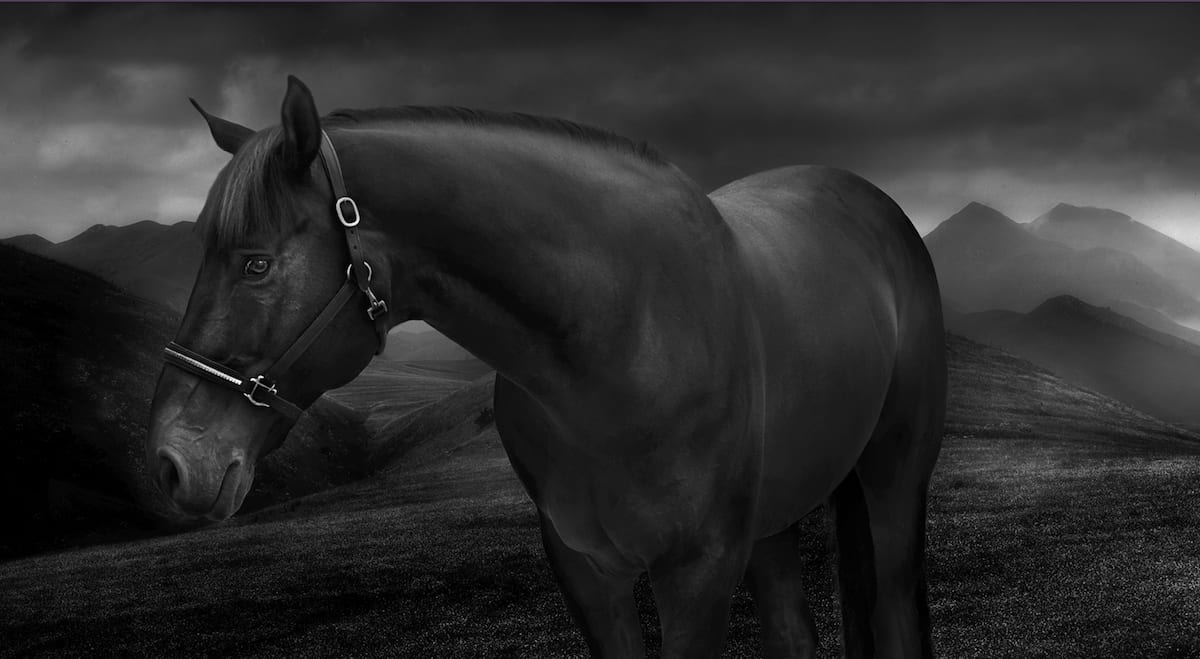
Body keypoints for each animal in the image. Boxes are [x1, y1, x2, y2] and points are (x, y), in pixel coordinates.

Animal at [146, 75, 946, 658]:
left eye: (255, 263)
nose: (171, 465)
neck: (618, 347)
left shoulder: (697, 569)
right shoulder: (584, 568)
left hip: (893, 473)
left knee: (898, 609)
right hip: (775, 515)